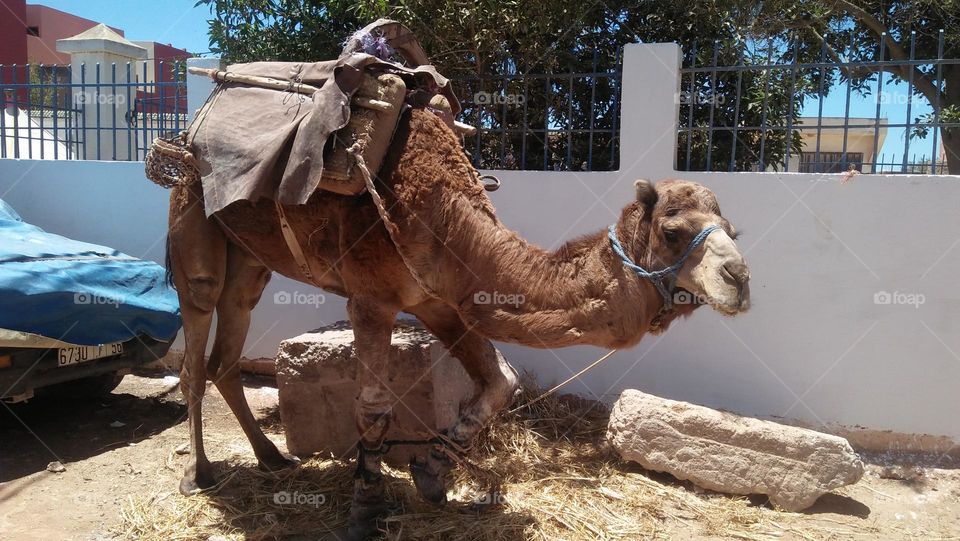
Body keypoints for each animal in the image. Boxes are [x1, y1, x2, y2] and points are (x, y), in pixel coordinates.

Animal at [166, 107, 751, 539]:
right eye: (673, 232)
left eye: (731, 230)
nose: (740, 279)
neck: (452, 220)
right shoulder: (373, 298)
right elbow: (373, 406)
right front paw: (364, 507)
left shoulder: (441, 301)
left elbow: (500, 382)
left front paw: (431, 471)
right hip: (193, 221)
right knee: (197, 341)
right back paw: (198, 474)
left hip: (251, 259)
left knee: (228, 349)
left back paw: (272, 459)